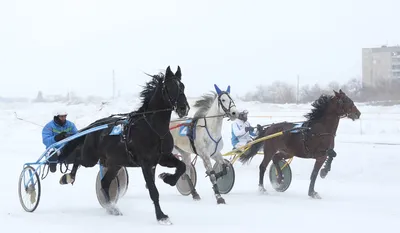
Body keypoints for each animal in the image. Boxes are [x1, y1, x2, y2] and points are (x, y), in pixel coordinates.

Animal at [57, 65, 191, 224]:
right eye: (169, 87)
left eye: (182, 86)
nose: (183, 108)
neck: (154, 129)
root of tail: (94, 125)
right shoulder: (145, 163)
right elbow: (153, 191)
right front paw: (161, 216)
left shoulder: (163, 158)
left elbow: (181, 166)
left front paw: (167, 178)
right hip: (90, 158)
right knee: (78, 158)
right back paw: (69, 177)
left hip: (115, 163)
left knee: (105, 183)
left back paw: (112, 208)